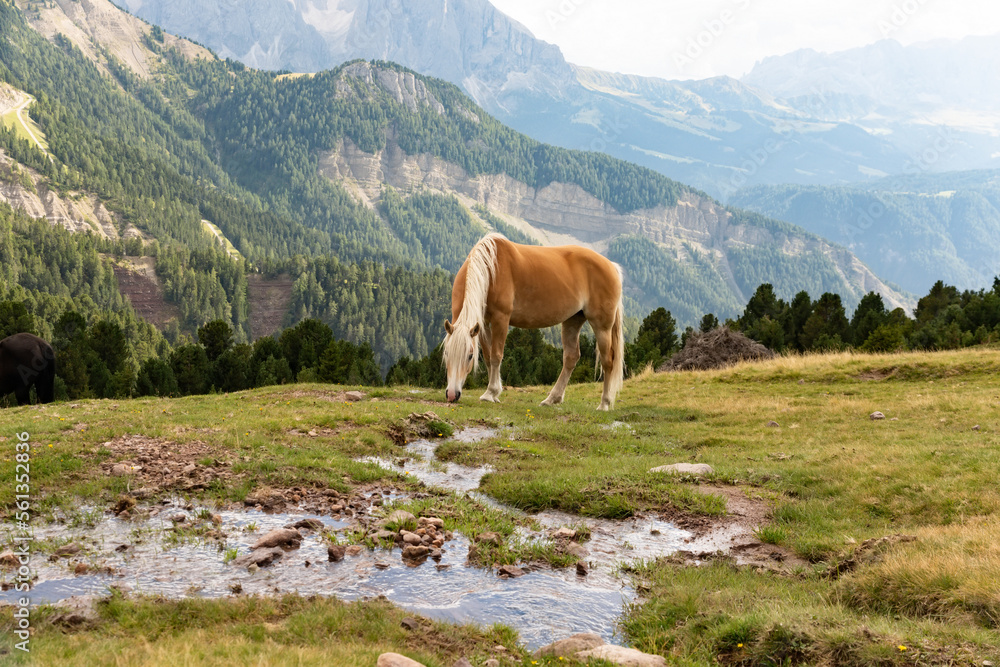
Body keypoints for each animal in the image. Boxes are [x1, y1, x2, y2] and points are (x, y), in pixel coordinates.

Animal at [443, 233, 624, 411]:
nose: (452, 395)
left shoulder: (501, 319)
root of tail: (611, 265)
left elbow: (496, 356)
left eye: (469, 356)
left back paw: (604, 403)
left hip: (602, 327)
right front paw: (494, 393)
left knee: (608, 361)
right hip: (572, 321)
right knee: (571, 358)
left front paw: (490, 393)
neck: (490, 269)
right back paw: (552, 399)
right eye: (446, 353)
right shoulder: (483, 324)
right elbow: (488, 357)